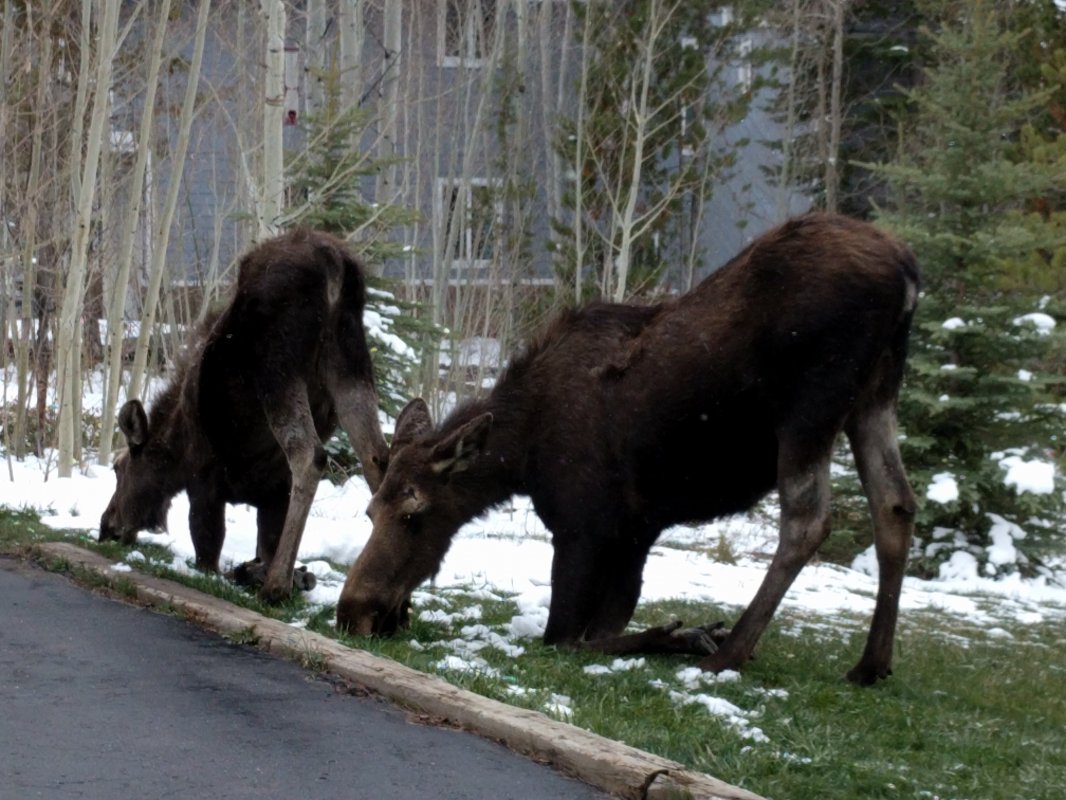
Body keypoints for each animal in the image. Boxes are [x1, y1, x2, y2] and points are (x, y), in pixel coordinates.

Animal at [98, 228, 390, 605]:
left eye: (119, 469)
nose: (106, 525)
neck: (175, 447)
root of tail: (337, 266)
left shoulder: (203, 476)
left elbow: (208, 547)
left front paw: (257, 575)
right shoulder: (274, 490)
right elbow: (266, 543)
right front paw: (278, 573)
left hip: (277, 366)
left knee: (310, 455)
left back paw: (275, 586)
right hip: (350, 360)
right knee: (377, 459)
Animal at [338, 214, 916, 691]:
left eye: (414, 514)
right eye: (369, 511)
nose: (352, 613)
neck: (521, 456)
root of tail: (908, 272)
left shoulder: (583, 527)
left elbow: (566, 638)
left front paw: (684, 635)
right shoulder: (636, 531)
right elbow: (605, 624)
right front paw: (679, 633)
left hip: (812, 406)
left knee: (808, 520)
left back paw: (730, 652)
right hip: (876, 394)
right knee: (895, 504)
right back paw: (870, 664)